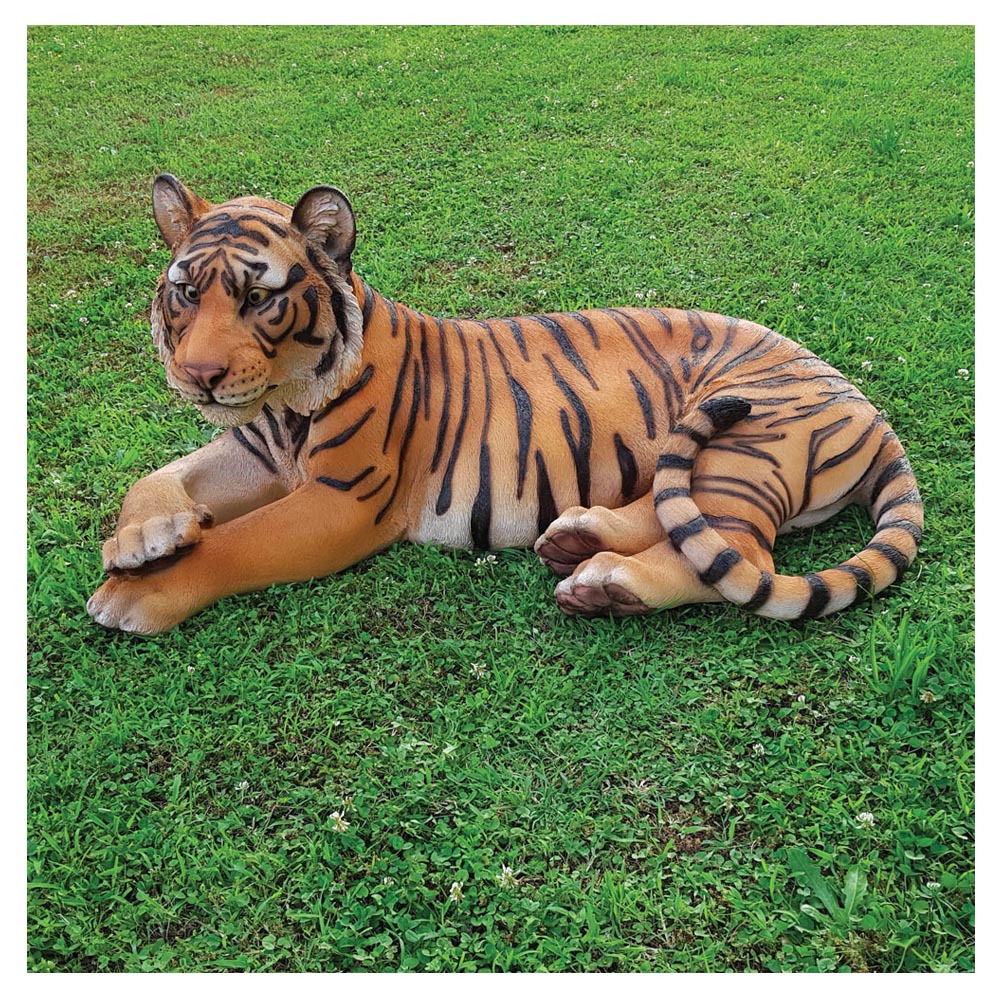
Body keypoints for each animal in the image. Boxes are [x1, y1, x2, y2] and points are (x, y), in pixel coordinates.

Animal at [86, 175, 924, 635]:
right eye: (186, 293)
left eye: (259, 298)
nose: (196, 376)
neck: (285, 401)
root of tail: (867, 407)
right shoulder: (256, 448)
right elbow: (157, 476)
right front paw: (143, 539)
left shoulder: (342, 500)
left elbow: (238, 543)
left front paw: (135, 592)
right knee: (677, 512)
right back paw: (580, 539)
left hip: (747, 441)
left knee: (739, 554)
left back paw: (607, 583)